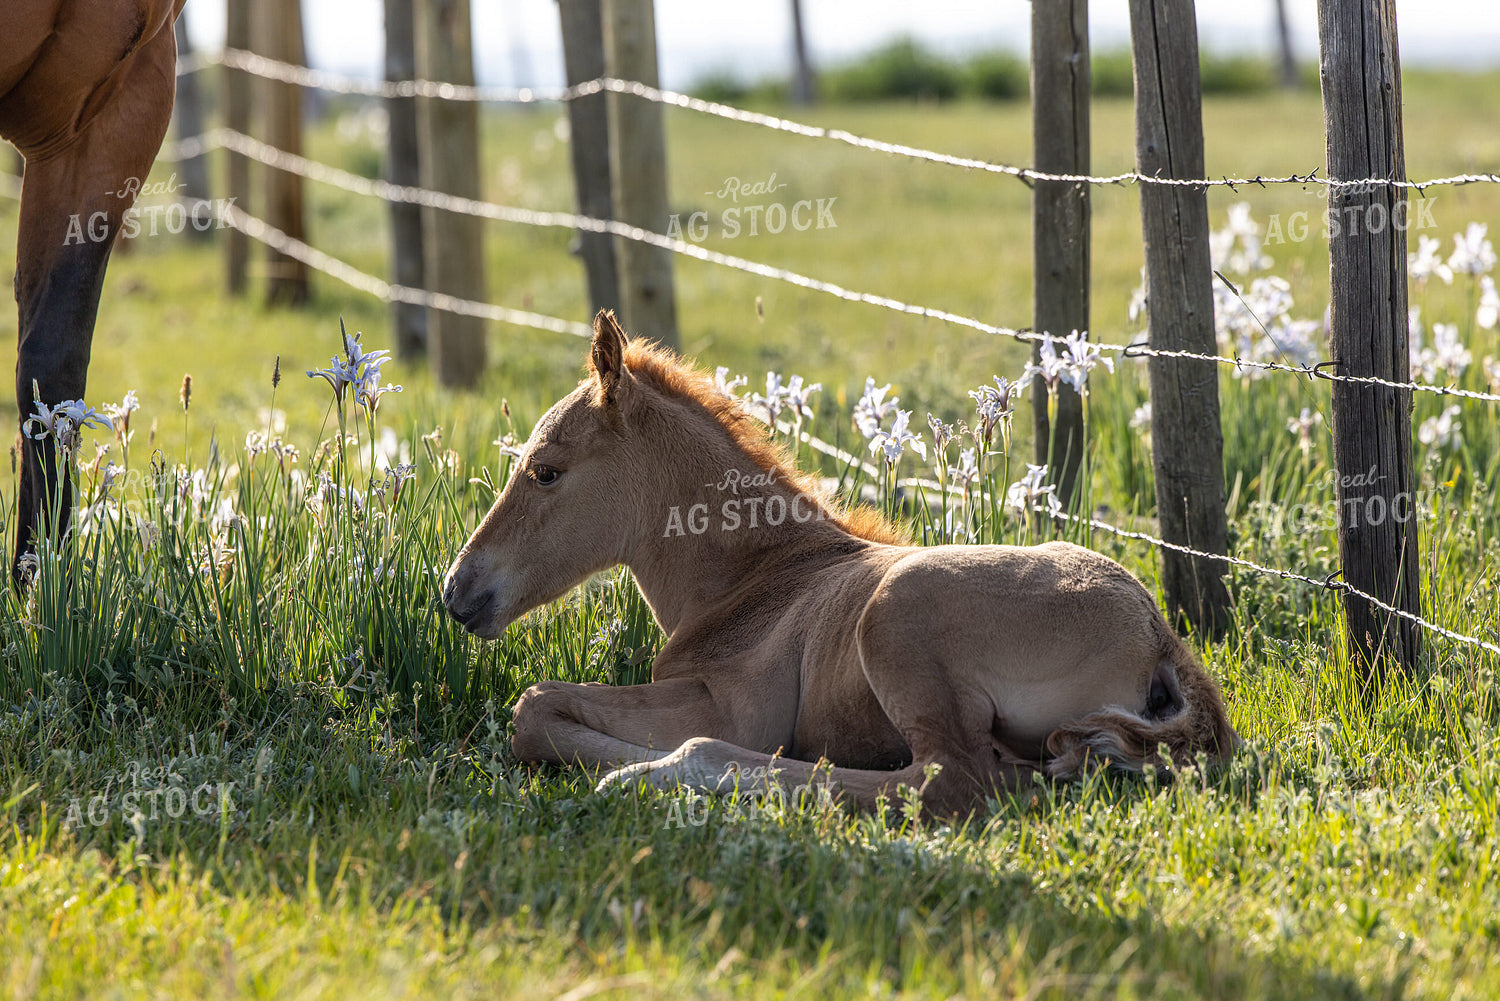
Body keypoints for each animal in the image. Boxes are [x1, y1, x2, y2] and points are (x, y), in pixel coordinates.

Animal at [443, 311, 1239, 814]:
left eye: (546, 471)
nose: (457, 589)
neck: (760, 576)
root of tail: (1158, 635)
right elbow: (540, 703)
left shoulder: (730, 704)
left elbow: (534, 706)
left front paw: (619, 762)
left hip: (896, 614)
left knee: (946, 783)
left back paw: (667, 773)